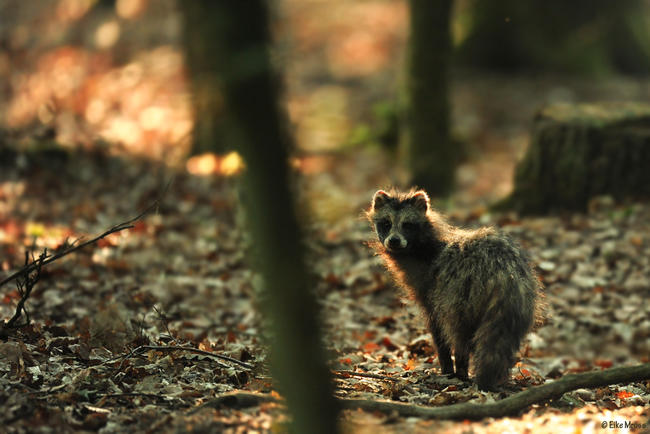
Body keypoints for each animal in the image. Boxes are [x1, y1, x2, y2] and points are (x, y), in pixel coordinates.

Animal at [368, 189, 540, 390]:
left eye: (407, 225)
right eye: (386, 224)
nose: (394, 241)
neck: (422, 247)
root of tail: (503, 272)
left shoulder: (431, 288)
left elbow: (438, 329)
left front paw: (447, 367)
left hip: (461, 292)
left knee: (458, 331)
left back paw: (461, 369)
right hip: (520, 300)